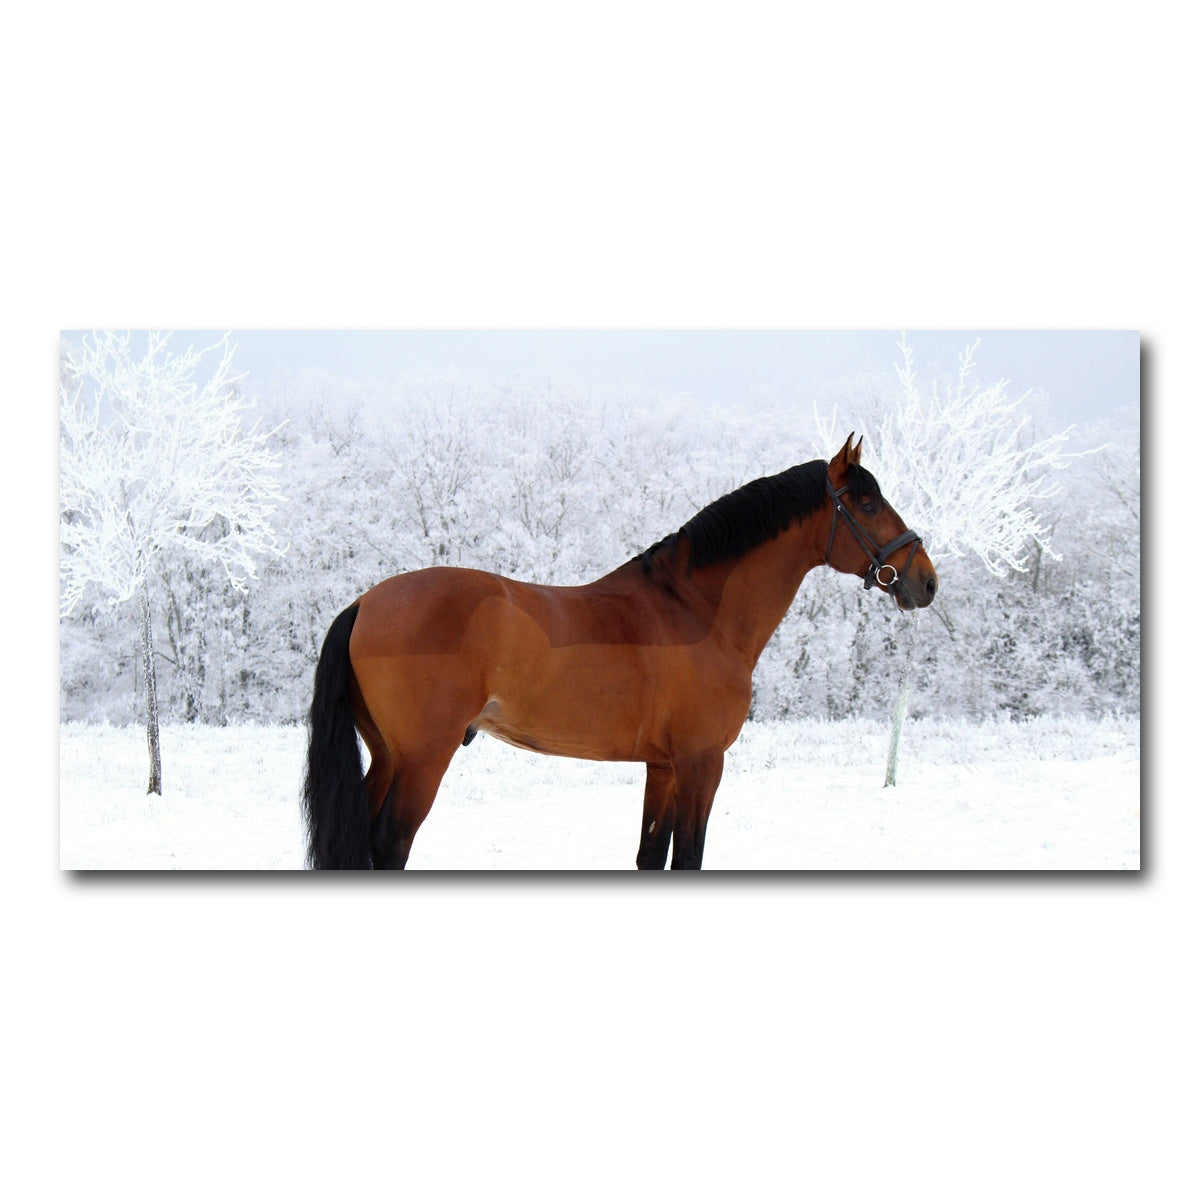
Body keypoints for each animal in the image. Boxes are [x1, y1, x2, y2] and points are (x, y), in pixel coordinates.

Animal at [302, 433, 937, 869]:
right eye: (868, 503)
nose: (925, 581)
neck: (694, 610)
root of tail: (364, 603)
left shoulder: (663, 767)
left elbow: (650, 856)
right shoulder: (702, 763)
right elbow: (689, 857)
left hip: (387, 756)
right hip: (421, 760)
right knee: (388, 845)